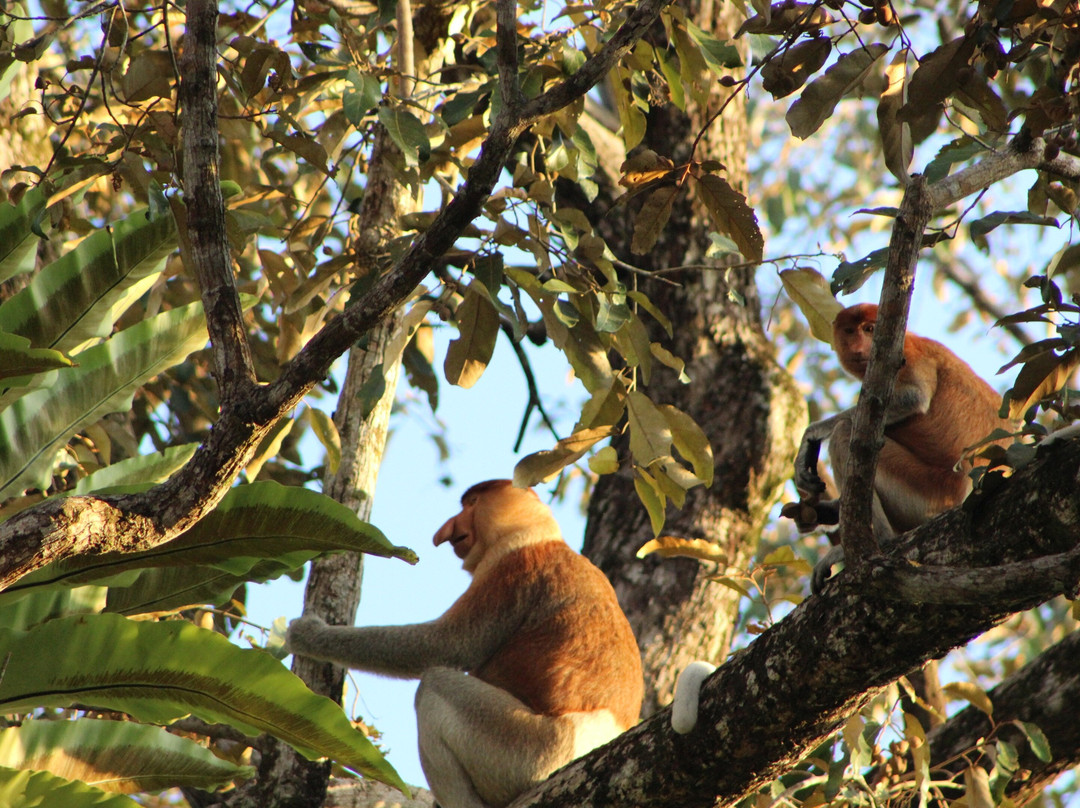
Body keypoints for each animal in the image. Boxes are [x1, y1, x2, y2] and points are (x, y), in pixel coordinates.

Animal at [286, 479, 644, 808]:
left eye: (472, 503)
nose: (444, 532)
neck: (539, 533)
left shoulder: (510, 567)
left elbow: (448, 644)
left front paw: (307, 635)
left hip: (531, 750)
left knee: (433, 687)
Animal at [788, 303, 1012, 592]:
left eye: (869, 329)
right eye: (850, 331)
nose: (859, 348)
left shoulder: (907, 355)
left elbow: (913, 398)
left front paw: (811, 436)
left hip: (928, 491)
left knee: (844, 434)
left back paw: (877, 544)